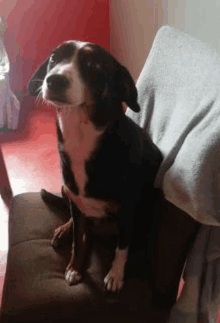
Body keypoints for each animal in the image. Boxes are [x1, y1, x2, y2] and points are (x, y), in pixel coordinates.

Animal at [27, 40, 162, 294]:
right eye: (54, 58)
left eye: (94, 66)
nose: (54, 80)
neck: (82, 137)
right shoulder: (77, 205)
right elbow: (78, 241)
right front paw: (74, 267)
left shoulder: (128, 210)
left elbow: (122, 246)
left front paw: (115, 275)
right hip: (66, 190)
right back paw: (64, 230)